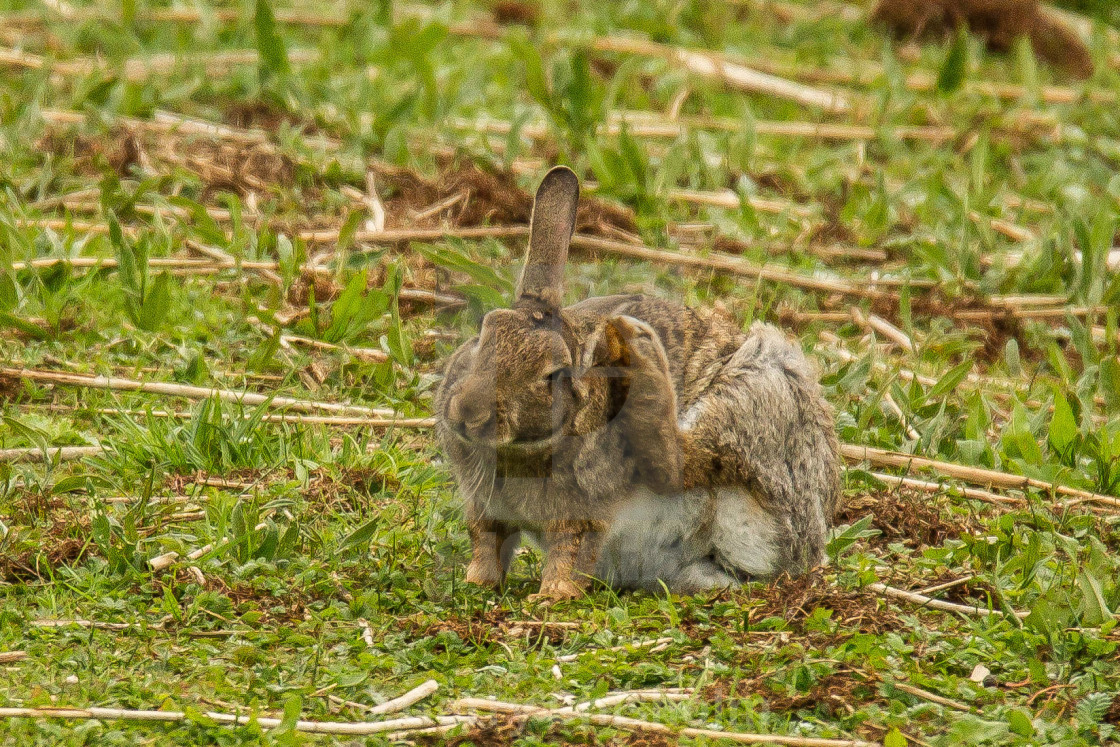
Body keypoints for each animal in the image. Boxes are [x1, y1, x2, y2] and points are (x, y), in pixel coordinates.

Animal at [436, 164, 842, 600]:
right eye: (483, 333)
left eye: (553, 374)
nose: (467, 416)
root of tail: (805, 551)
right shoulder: (486, 510)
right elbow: (487, 541)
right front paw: (476, 582)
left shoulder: (583, 511)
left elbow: (569, 549)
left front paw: (552, 596)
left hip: (757, 396)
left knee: (679, 462)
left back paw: (637, 343)